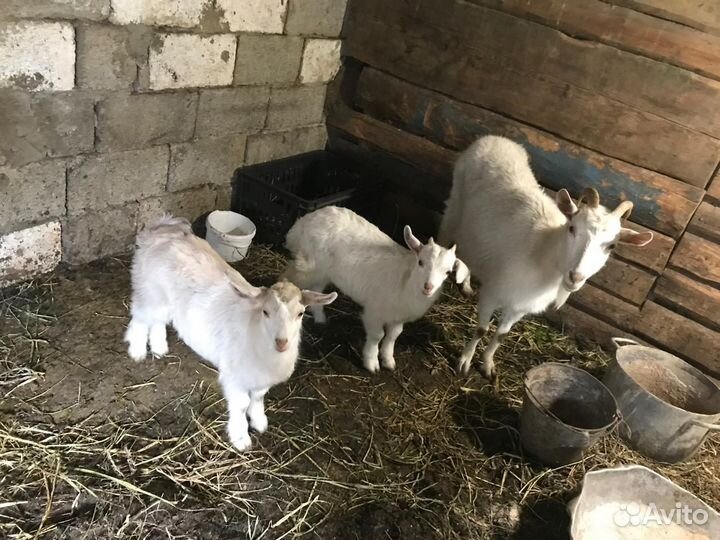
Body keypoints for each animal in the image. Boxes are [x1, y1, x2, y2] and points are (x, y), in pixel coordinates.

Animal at [124, 215, 337, 451]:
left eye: (300, 313)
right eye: (265, 312)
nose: (282, 342)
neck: (256, 333)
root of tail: (161, 231)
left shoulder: (261, 378)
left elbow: (258, 397)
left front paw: (259, 421)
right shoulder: (235, 377)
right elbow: (242, 404)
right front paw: (240, 437)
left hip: (162, 300)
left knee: (157, 321)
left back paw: (159, 347)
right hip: (149, 291)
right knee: (140, 318)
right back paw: (137, 351)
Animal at [283, 206, 470, 373]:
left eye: (448, 272)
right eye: (420, 262)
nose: (428, 287)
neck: (405, 282)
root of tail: (303, 221)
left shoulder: (398, 316)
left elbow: (394, 335)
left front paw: (388, 360)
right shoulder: (374, 312)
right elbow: (377, 335)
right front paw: (371, 363)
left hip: (323, 272)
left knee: (317, 288)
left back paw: (320, 318)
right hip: (307, 266)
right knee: (288, 276)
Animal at [438, 136, 653, 379]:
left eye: (612, 245)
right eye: (572, 228)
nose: (575, 277)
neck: (542, 252)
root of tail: (494, 139)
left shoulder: (521, 305)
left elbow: (501, 335)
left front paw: (488, 364)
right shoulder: (493, 293)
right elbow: (482, 329)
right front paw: (465, 362)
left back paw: (466, 285)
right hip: (454, 207)